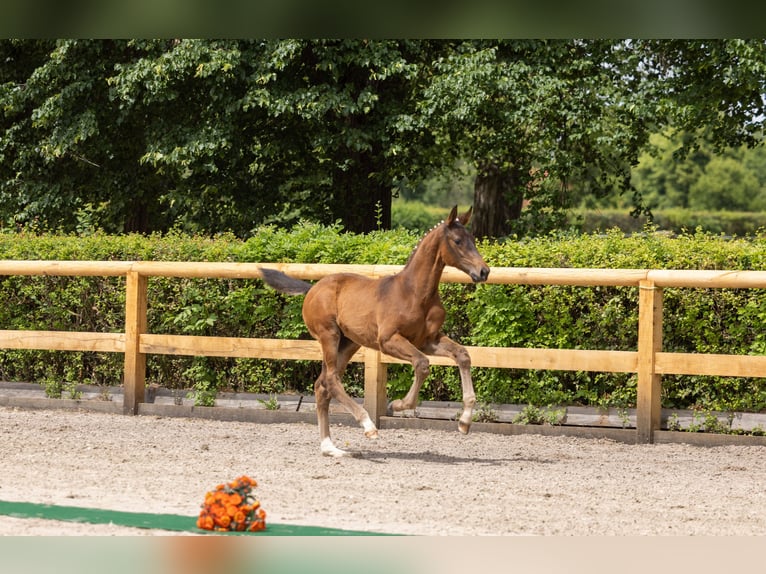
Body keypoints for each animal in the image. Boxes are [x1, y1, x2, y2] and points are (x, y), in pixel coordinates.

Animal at [259, 206, 490, 456]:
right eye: (457, 241)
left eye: (473, 239)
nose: (483, 271)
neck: (414, 293)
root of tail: (312, 289)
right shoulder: (388, 341)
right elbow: (422, 364)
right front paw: (397, 404)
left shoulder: (427, 340)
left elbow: (463, 355)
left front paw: (464, 422)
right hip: (329, 336)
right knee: (330, 380)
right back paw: (368, 425)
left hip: (348, 343)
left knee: (322, 385)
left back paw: (330, 447)